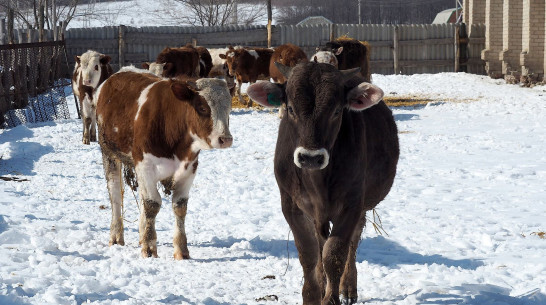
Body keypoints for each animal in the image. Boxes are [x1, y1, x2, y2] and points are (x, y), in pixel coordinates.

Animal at [95, 66, 232, 258]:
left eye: (229, 108)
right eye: (202, 107)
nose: (225, 139)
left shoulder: (189, 169)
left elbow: (179, 206)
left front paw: (181, 250)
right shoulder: (145, 166)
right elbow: (152, 204)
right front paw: (149, 247)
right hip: (109, 153)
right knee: (115, 194)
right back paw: (116, 236)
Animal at [245, 62, 396, 304]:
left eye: (336, 111)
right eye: (291, 109)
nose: (310, 157)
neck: (318, 181)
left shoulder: (351, 205)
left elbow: (334, 254)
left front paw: (331, 298)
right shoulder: (291, 204)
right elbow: (309, 253)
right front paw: (312, 296)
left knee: (352, 242)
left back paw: (348, 288)